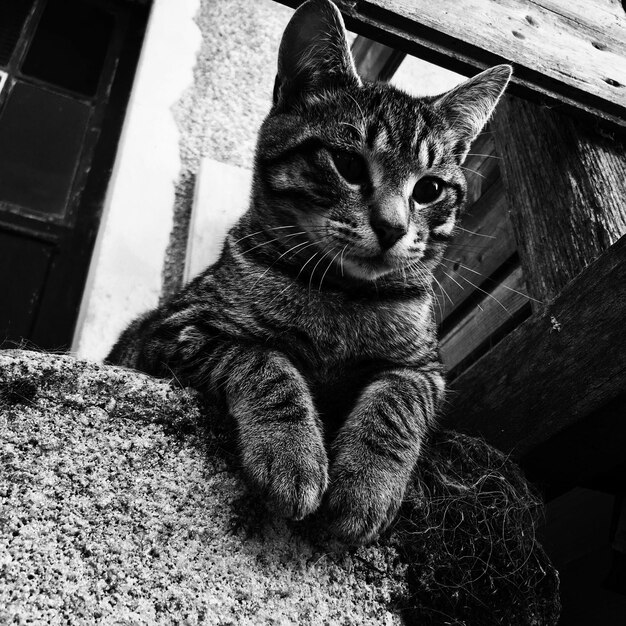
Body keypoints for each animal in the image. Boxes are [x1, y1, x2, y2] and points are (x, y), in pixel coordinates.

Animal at [106, 0, 508, 540]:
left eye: (429, 190)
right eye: (347, 164)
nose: (393, 227)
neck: (341, 295)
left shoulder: (423, 370)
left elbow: (396, 402)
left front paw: (368, 483)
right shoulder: (173, 329)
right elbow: (264, 360)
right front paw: (292, 453)